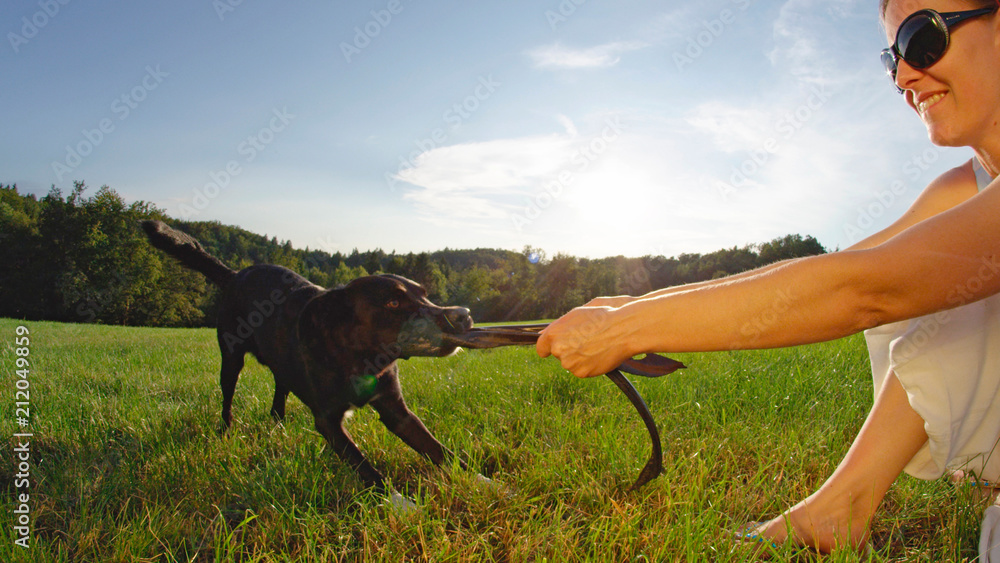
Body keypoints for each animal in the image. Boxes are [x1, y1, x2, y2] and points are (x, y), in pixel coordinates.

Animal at [142, 220, 476, 494]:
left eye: (425, 295)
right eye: (393, 303)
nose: (464, 316)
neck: (358, 357)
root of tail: (235, 274)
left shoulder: (397, 411)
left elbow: (440, 451)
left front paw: (483, 483)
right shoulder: (327, 421)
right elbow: (365, 468)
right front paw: (402, 506)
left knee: (279, 390)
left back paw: (277, 424)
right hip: (231, 358)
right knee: (227, 397)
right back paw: (227, 430)